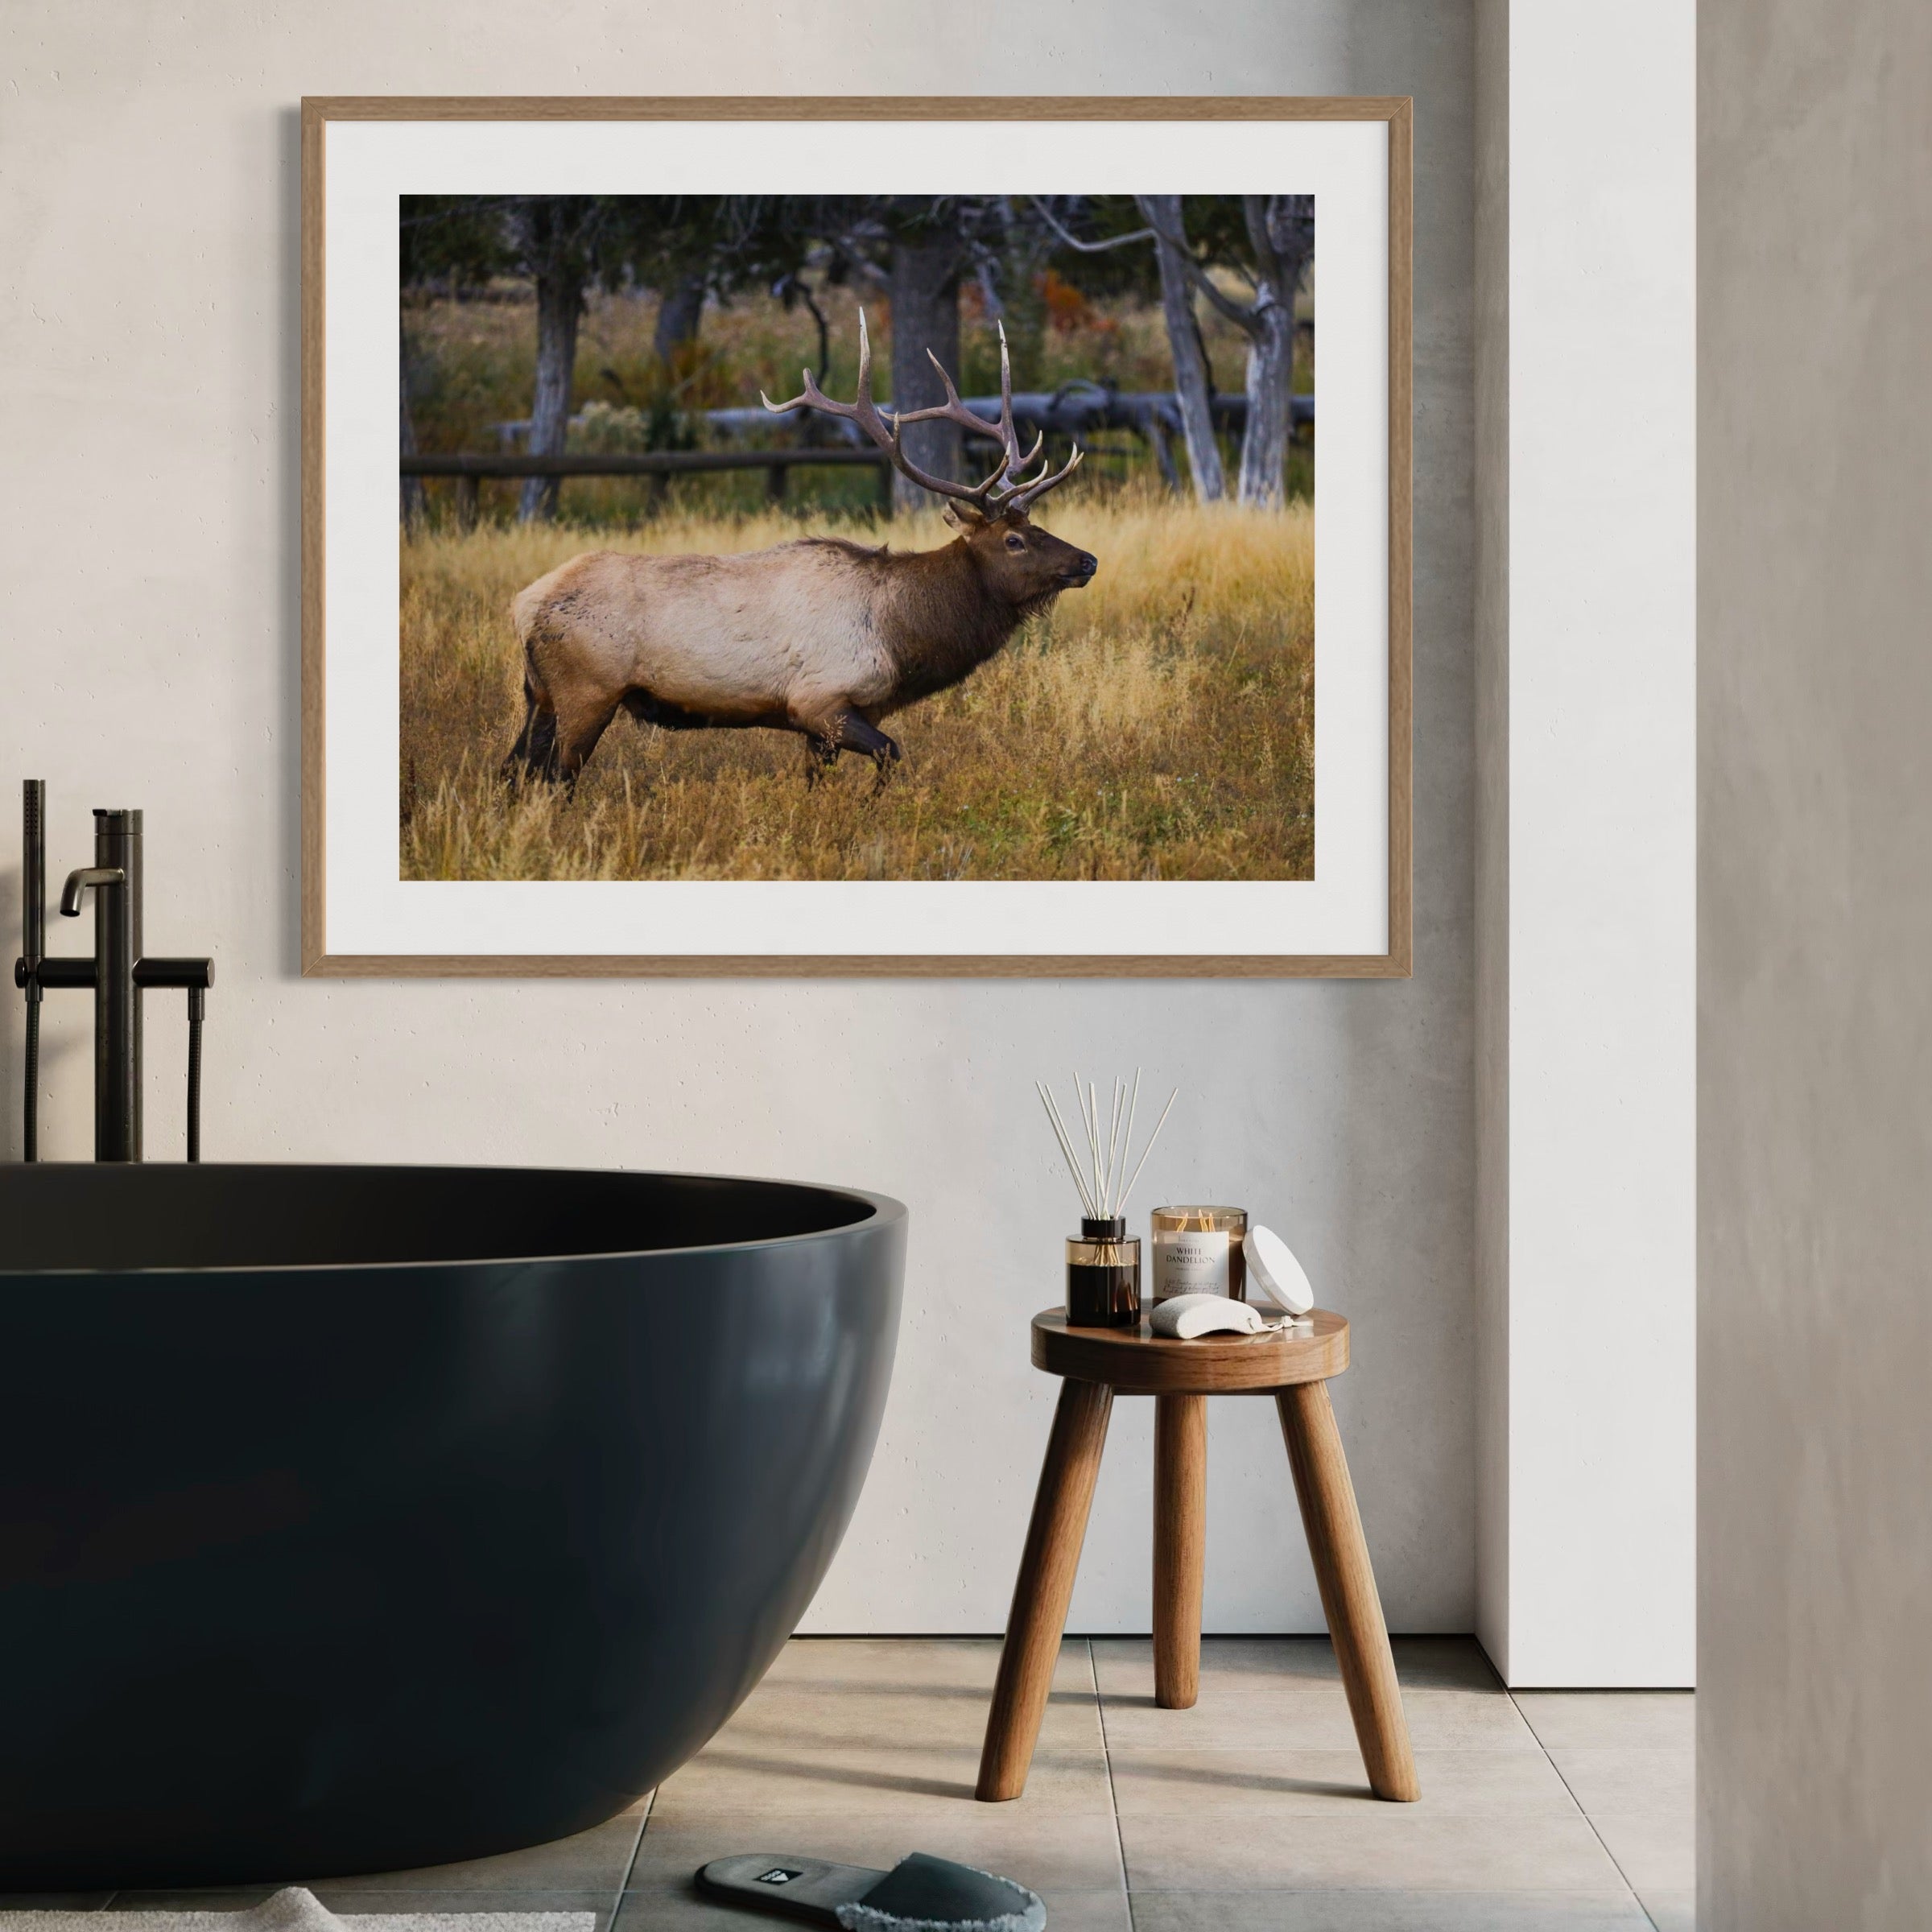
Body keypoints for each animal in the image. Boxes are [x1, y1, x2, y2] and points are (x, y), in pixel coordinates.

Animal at [502, 313, 1095, 792]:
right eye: (1014, 541)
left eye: (1036, 526)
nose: (1086, 560)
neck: (902, 636)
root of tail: (524, 605)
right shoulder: (821, 700)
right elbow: (891, 754)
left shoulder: (823, 722)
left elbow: (817, 782)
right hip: (587, 691)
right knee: (554, 778)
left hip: (539, 694)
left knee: (512, 771)